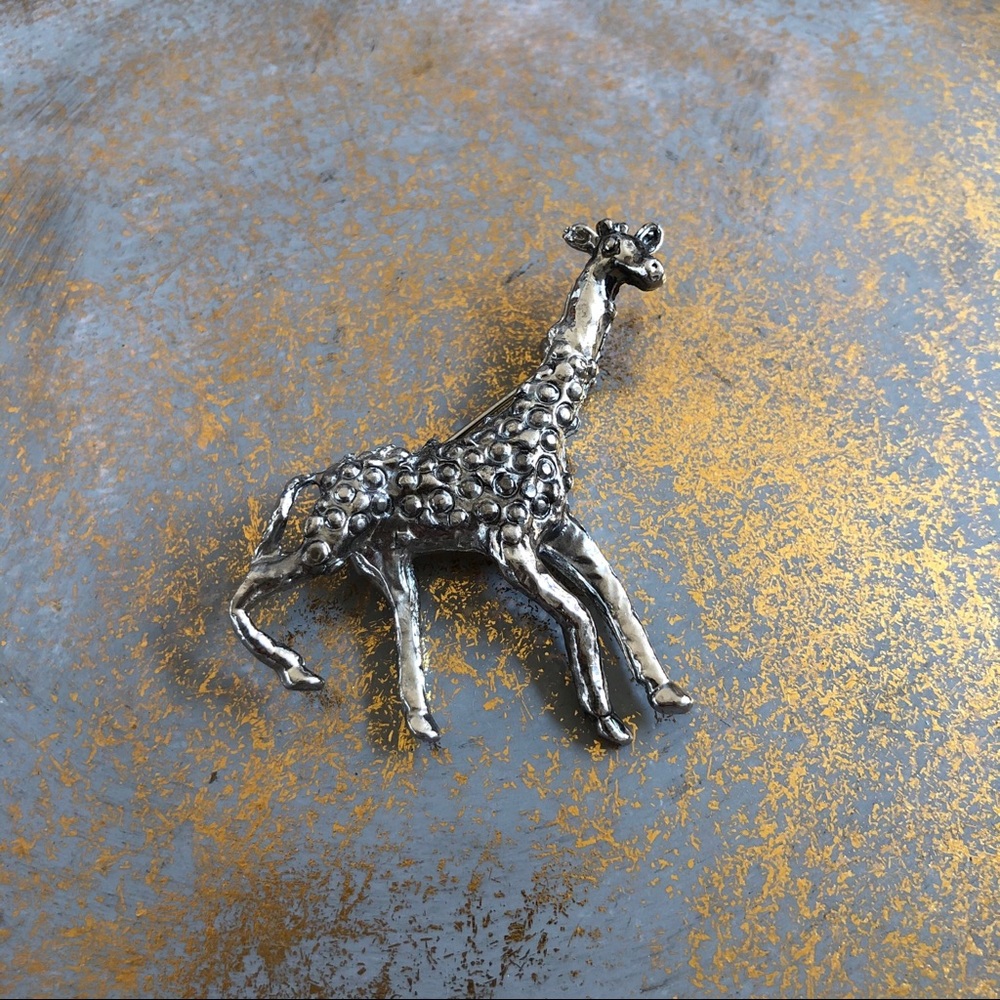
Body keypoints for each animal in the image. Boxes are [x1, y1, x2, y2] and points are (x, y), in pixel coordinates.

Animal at [230, 218, 693, 746]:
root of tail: (321, 478)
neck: (545, 422)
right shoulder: (510, 546)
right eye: (611, 246)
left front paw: (667, 693)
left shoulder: (560, 529)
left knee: (402, 619)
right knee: (251, 581)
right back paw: (299, 671)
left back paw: (420, 720)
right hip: (329, 543)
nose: (654, 271)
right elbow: (580, 614)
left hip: (384, 556)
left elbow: (616, 596)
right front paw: (606, 719)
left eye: (645, 241)